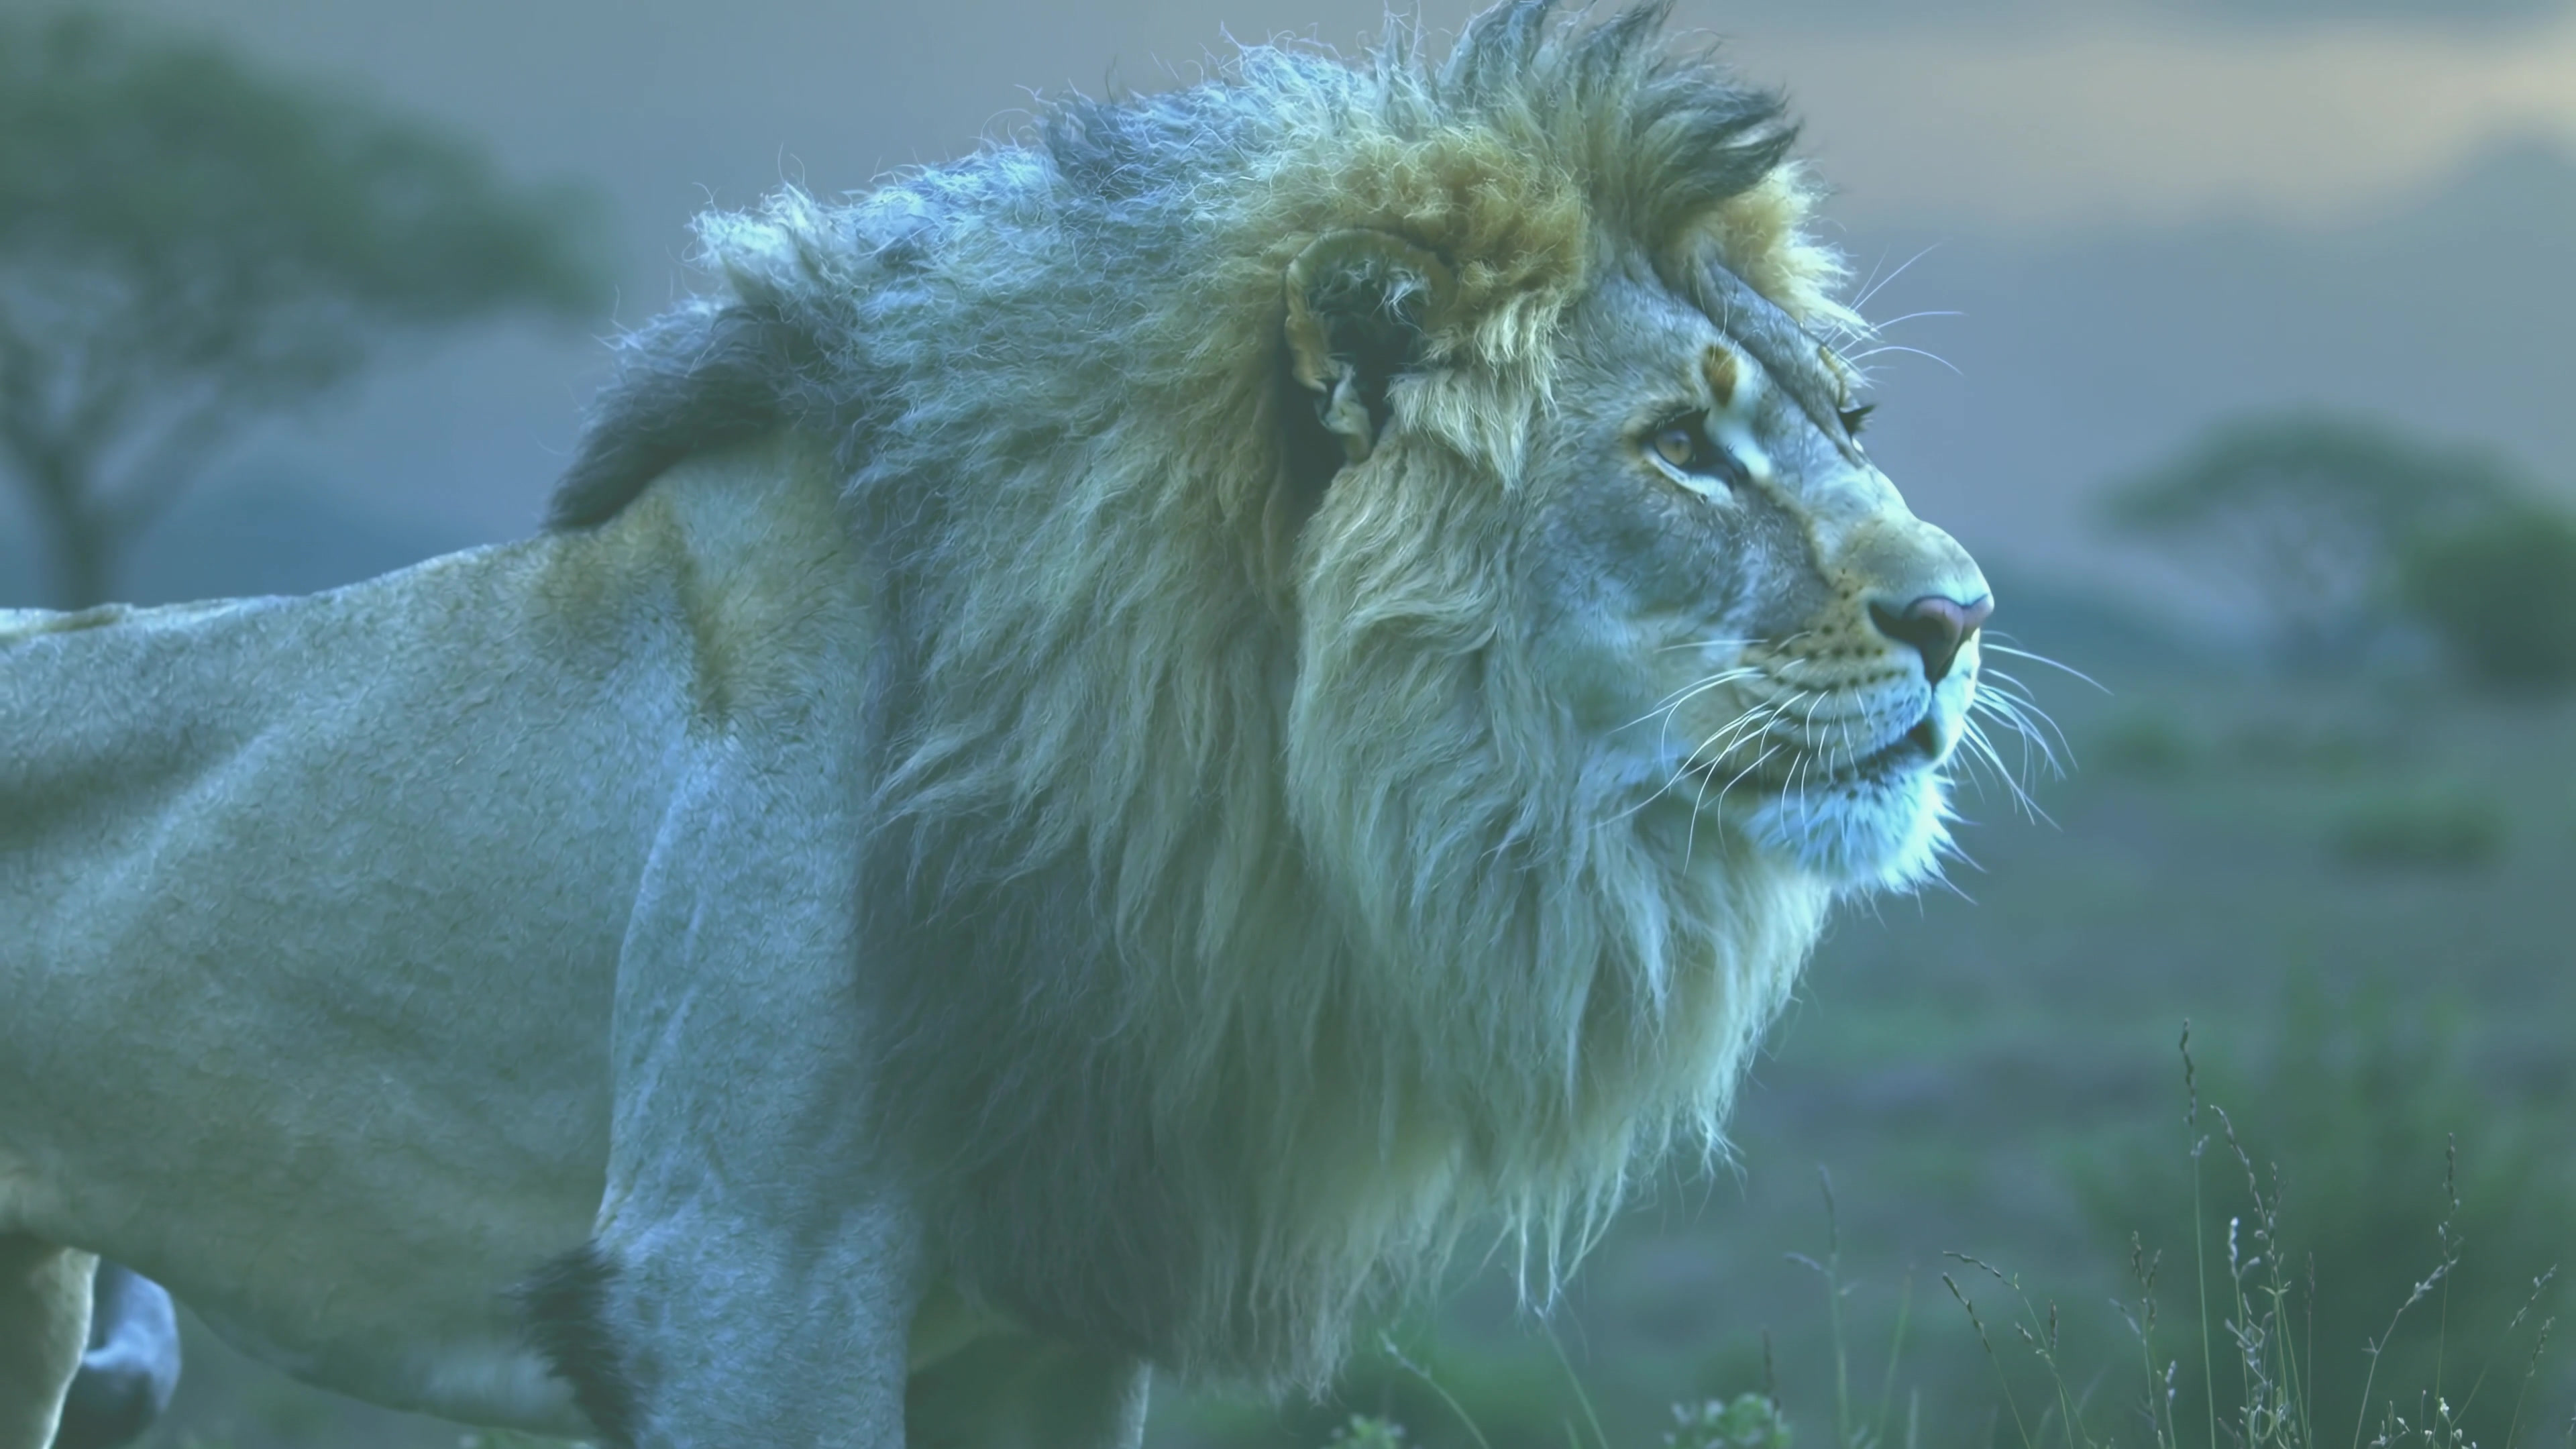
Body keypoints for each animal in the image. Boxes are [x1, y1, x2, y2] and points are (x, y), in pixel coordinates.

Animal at [0, 5, 1992, 1446]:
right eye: (1679, 446)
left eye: (1849, 418)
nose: (1963, 617)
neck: (1243, 770)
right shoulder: (736, 1282)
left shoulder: (1051, 1317)